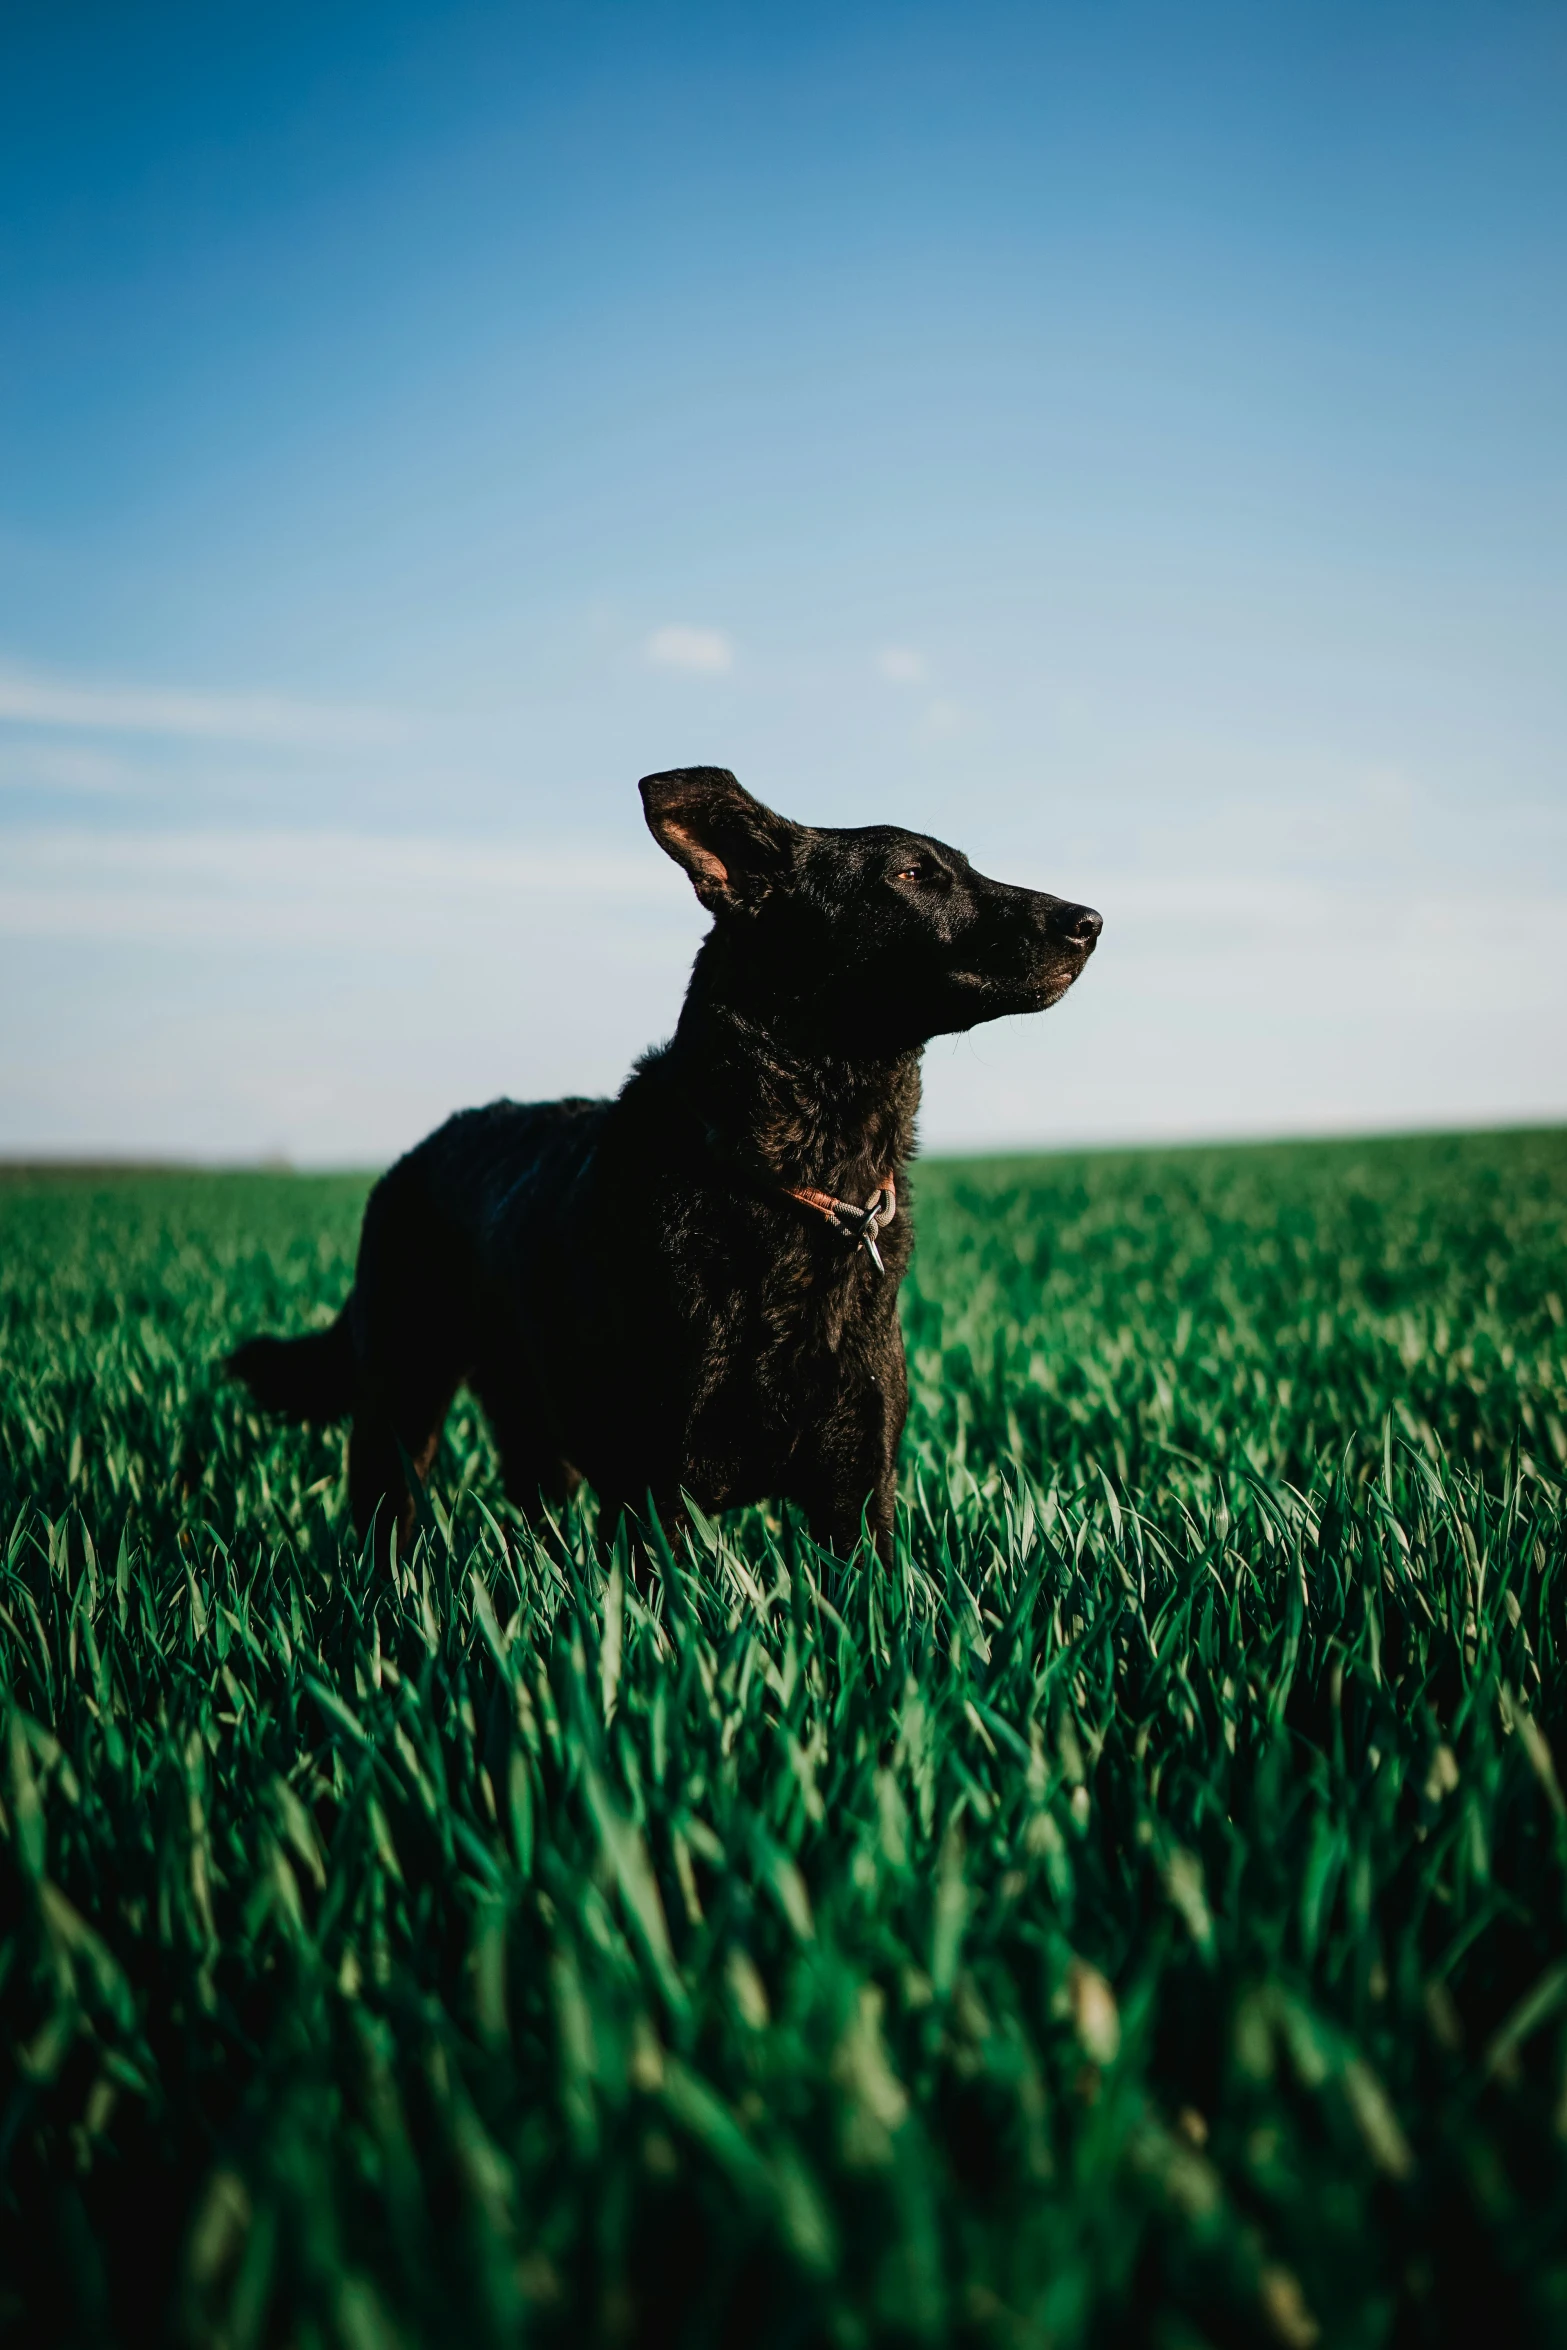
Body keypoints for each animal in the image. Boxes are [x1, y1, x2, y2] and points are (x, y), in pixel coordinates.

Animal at [236, 770, 1104, 1560]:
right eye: (913, 874)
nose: (1089, 921)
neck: (796, 1180)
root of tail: (413, 1155)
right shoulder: (656, 1495)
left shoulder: (857, 1489)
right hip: (401, 1398)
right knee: (387, 1522)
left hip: (533, 1425)